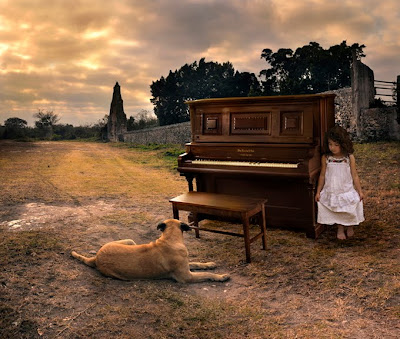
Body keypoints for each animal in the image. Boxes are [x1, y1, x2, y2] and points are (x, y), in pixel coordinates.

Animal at [70, 219, 230, 282]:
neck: (169, 238)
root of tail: (96, 258)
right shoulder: (186, 276)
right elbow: (206, 274)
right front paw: (221, 276)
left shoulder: (186, 265)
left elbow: (197, 263)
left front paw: (209, 264)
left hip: (130, 241)